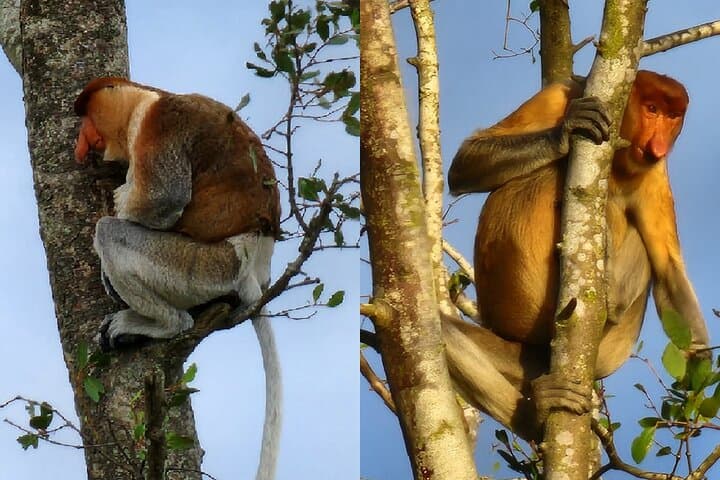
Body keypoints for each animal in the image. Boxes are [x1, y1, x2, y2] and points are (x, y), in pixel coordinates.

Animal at [74, 77, 282, 480]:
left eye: (88, 117)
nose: (80, 141)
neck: (146, 97)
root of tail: (255, 268)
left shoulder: (158, 126)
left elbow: (160, 202)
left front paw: (122, 198)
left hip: (200, 268)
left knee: (111, 233)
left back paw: (160, 324)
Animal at [444, 70, 711, 441]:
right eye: (652, 109)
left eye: (673, 116)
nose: (658, 144)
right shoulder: (560, 96)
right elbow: (464, 162)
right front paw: (567, 131)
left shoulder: (654, 173)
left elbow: (668, 267)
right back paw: (533, 416)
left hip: (609, 345)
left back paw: (610, 299)